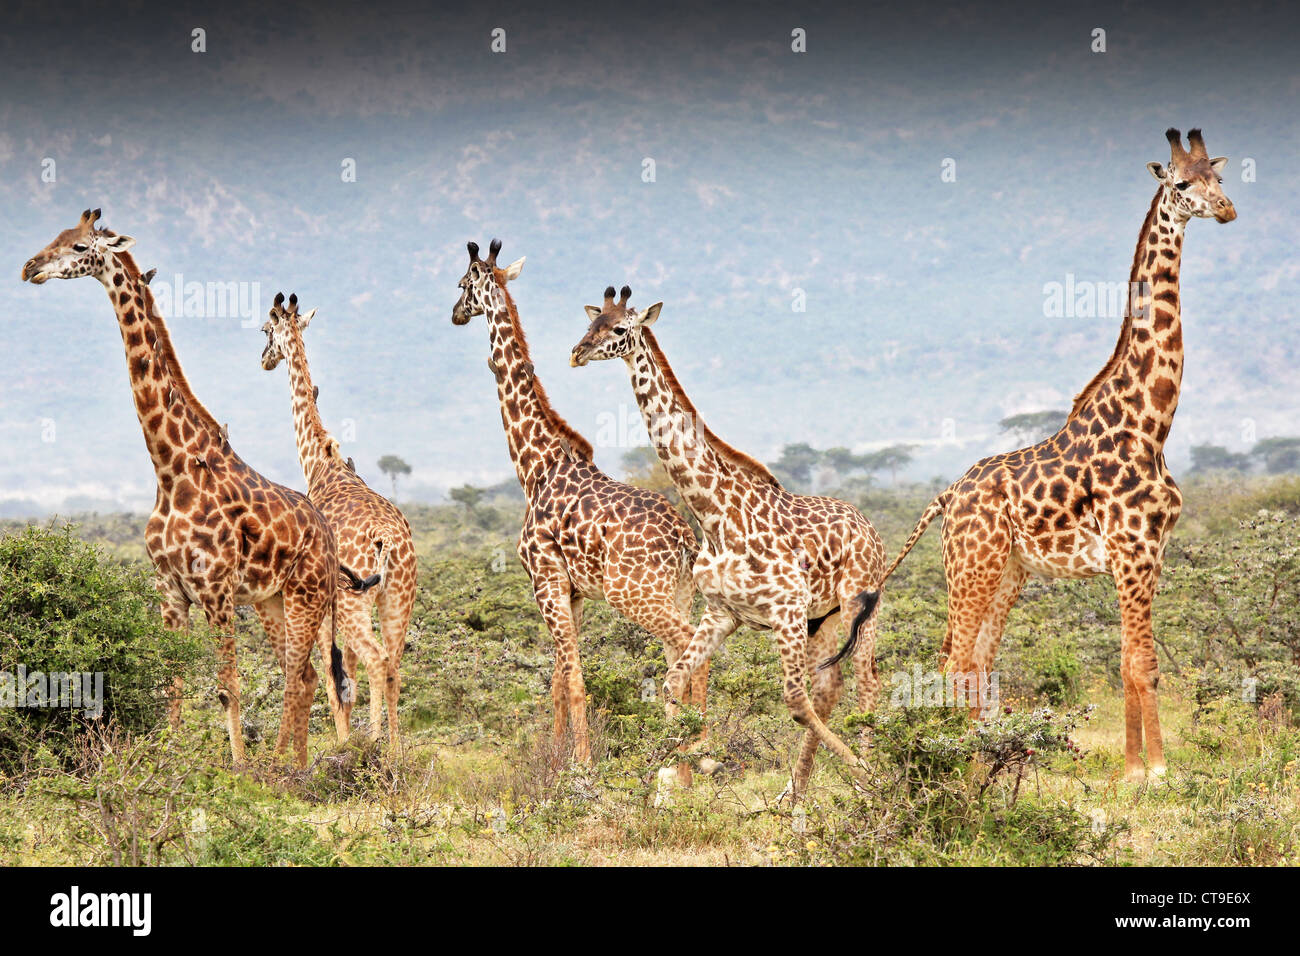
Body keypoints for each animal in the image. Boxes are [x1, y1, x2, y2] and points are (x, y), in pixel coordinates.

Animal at [21, 210, 377, 770]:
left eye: (78, 245)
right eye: (55, 236)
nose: (30, 267)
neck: (170, 470)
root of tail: (327, 533)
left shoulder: (215, 589)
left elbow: (228, 685)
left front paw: (238, 768)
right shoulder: (170, 591)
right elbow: (172, 685)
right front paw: (169, 763)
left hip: (307, 595)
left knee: (303, 676)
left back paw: (282, 768)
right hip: (273, 600)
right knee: (304, 676)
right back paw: (291, 764)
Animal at [263, 291, 421, 754]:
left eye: (265, 331)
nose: (265, 358)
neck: (321, 464)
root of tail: (385, 539)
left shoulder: (322, 601)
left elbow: (336, 682)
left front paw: (343, 744)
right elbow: (344, 675)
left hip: (356, 602)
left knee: (376, 660)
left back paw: (374, 745)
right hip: (397, 598)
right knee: (394, 666)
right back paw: (396, 749)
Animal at [452, 243, 707, 775]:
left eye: (462, 284)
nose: (455, 314)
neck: (535, 464)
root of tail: (683, 538)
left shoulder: (545, 579)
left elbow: (572, 676)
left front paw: (582, 764)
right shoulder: (573, 592)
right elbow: (556, 678)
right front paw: (554, 755)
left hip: (634, 594)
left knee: (689, 642)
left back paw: (697, 747)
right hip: (677, 591)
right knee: (681, 648)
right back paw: (686, 745)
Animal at [574, 287, 889, 796]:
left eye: (619, 328)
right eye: (591, 322)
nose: (577, 352)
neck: (714, 515)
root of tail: (871, 529)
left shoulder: (784, 611)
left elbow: (794, 702)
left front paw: (866, 776)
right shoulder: (722, 613)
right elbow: (673, 680)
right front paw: (671, 784)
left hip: (860, 605)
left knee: (867, 685)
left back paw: (869, 773)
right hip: (821, 617)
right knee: (832, 687)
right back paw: (794, 795)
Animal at [868, 128, 1232, 785]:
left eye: (1221, 177)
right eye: (1181, 183)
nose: (1226, 210)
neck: (1152, 424)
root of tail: (946, 495)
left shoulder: (1149, 555)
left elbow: (1127, 660)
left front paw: (1132, 770)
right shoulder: (1132, 551)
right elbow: (1141, 664)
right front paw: (1155, 772)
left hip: (1008, 572)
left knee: (977, 662)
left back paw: (977, 756)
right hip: (974, 566)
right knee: (954, 662)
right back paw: (949, 762)